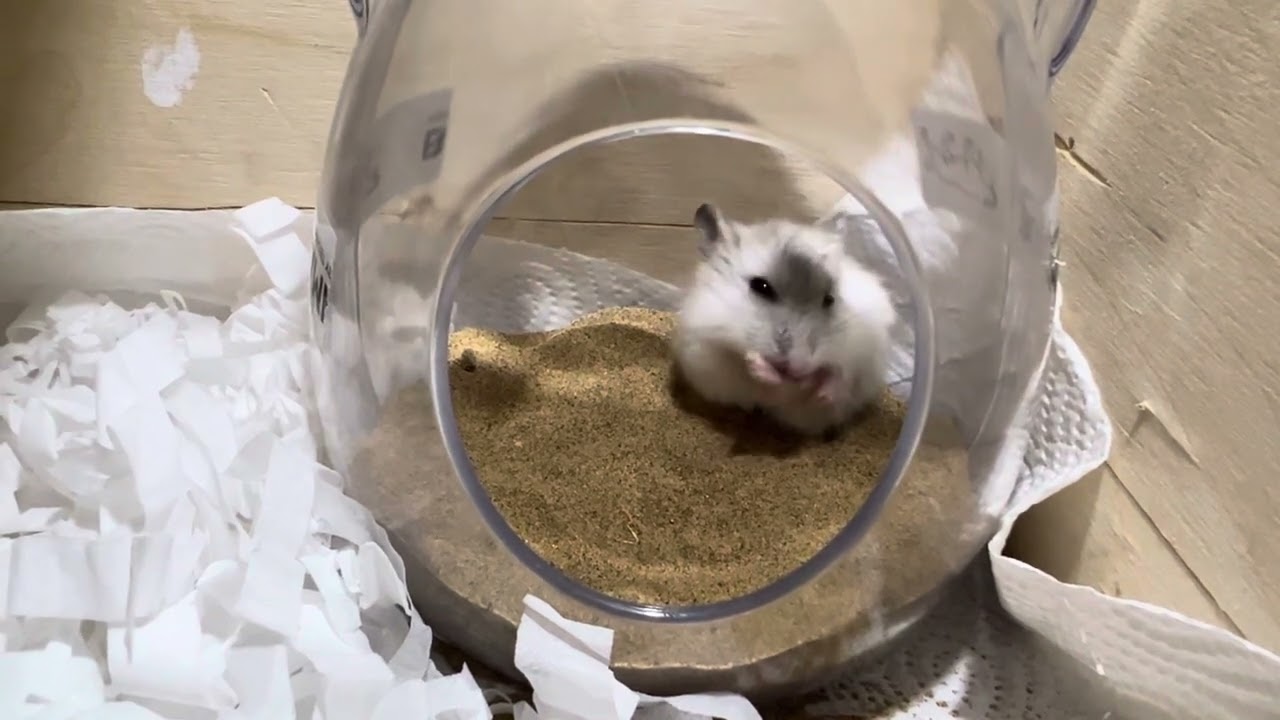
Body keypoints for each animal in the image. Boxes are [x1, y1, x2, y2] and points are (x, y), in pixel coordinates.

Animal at [672, 203, 897, 437]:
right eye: (761, 286)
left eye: (830, 299)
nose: (800, 368)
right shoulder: (708, 345)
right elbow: (751, 371)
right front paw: (754, 362)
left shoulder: (858, 349)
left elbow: (842, 373)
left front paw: (823, 393)